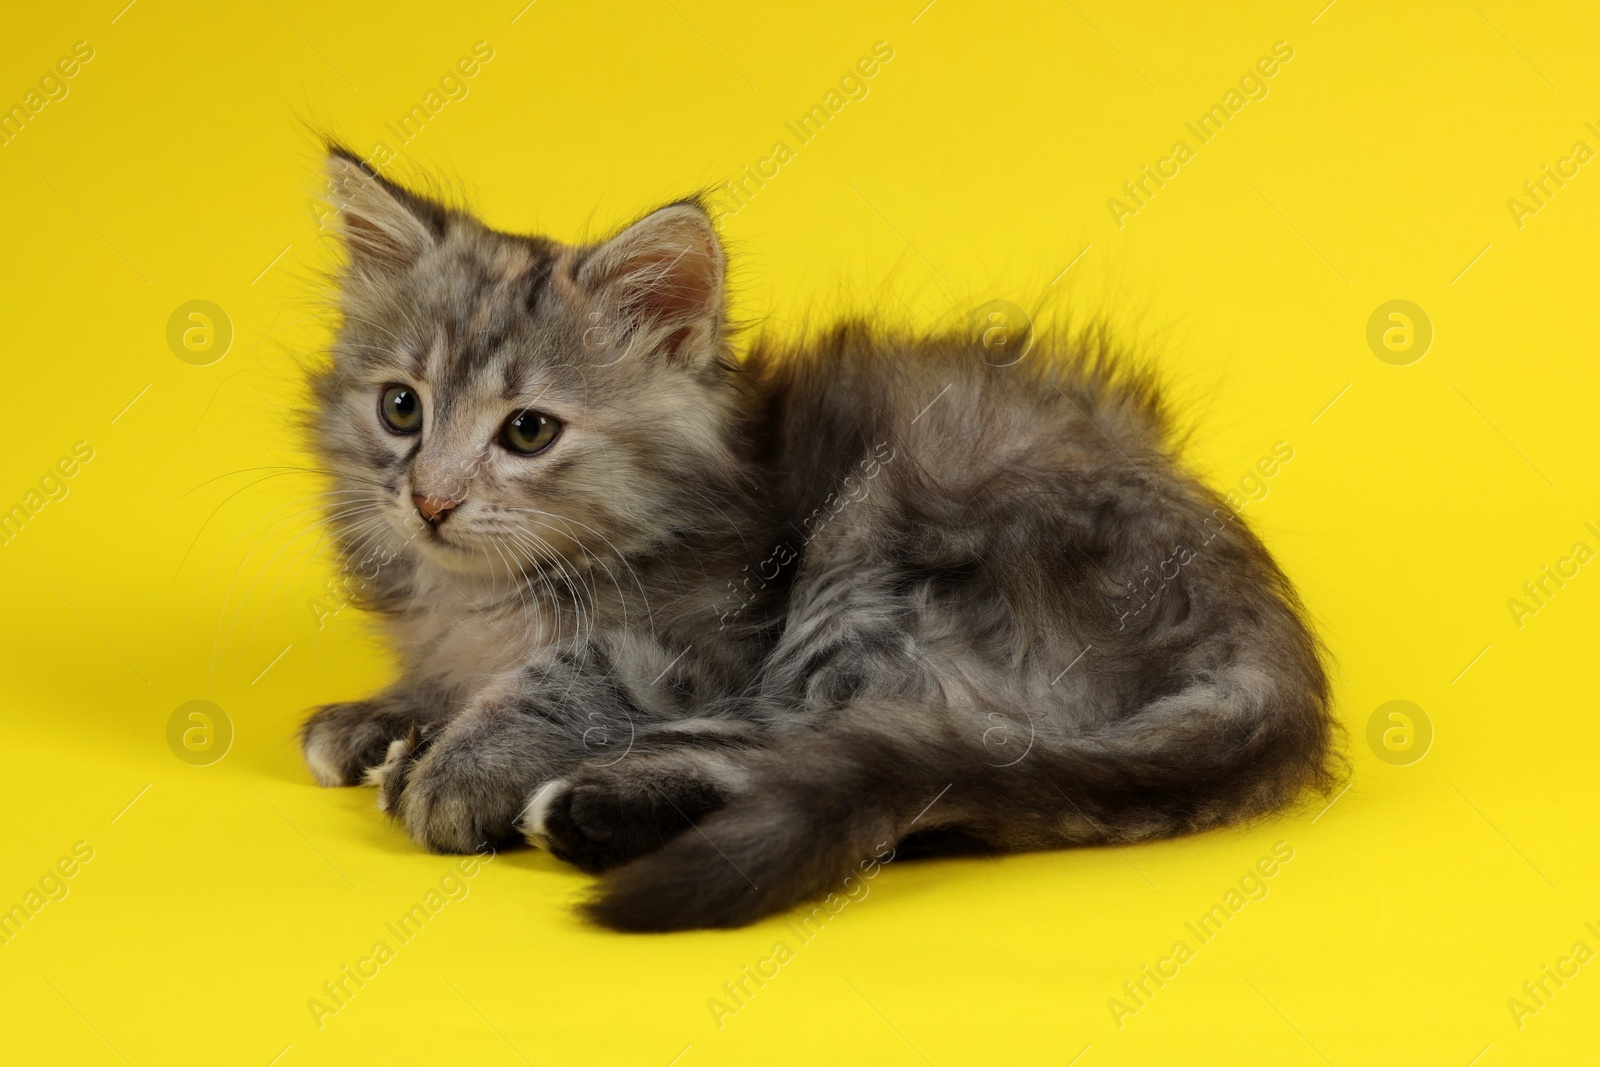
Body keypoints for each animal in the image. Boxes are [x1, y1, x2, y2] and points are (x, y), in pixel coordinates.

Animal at [297, 143, 1337, 934]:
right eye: (401, 409)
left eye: (527, 431)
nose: (430, 501)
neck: (483, 591)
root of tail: (1260, 619)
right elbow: (446, 675)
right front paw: (382, 716)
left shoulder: (708, 634)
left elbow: (570, 674)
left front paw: (455, 760)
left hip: (886, 542)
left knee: (856, 745)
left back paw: (579, 798)